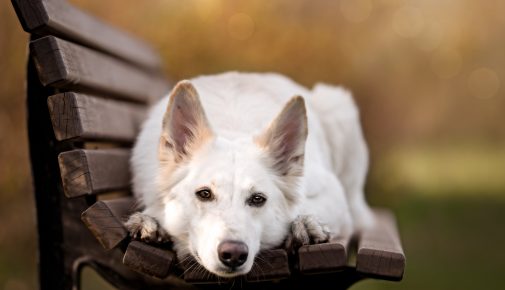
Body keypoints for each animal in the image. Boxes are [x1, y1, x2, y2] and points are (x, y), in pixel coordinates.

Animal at [124, 71, 372, 278]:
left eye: (257, 199)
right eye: (204, 194)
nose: (233, 254)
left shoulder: (332, 194)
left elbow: (302, 207)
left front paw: (306, 224)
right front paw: (151, 221)